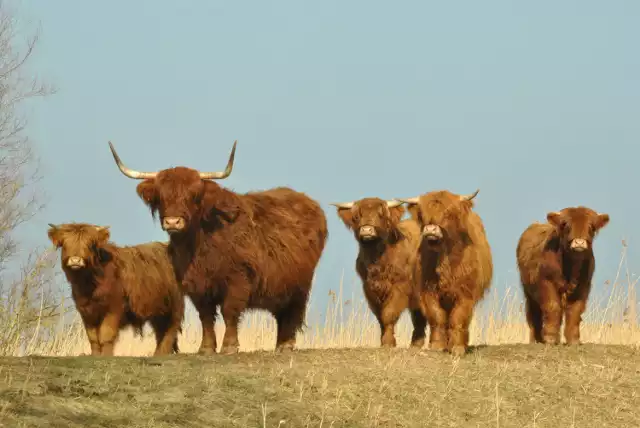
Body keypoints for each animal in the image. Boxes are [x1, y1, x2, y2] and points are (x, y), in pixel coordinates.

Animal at [46, 222, 182, 356]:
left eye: (89, 245)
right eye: (65, 244)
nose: (75, 260)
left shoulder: (114, 309)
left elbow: (106, 335)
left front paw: (106, 355)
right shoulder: (87, 312)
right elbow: (93, 338)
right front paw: (95, 355)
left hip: (175, 305)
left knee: (171, 329)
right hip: (158, 309)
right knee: (160, 331)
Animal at [107, 140, 328, 354]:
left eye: (194, 195)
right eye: (161, 196)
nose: (173, 222)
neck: (197, 247)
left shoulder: (238, 279)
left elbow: (229, 311)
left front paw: (229, 346)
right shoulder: (195, 285)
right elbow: (205, 316)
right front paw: (206, 348)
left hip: (300, 284)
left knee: (293, 312)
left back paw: (286, 344)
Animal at [332, 197, 428, 348]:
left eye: (380, 215)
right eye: (357, 216)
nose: (366, 229)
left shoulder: (400, 287)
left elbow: (389, 313)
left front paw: (388, 342)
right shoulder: (369, 289)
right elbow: (380, 317)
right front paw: (383, 341)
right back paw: (416, 344)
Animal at [400, 190, 496, 354]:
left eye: (448, 213)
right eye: (422, 214)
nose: (430, 229)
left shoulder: (466, 292)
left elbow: (458, 317)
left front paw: (457, 347)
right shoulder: (428, 291)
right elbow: (437, 316)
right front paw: (437, 345)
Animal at [516, 206, 608, 346]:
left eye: (591, 226)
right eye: (566, 225)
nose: (579, 242)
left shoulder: (583, 286)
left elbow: (575, 310)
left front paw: (573, 340)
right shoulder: (545, 283)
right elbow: (552, 306)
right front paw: (550, 338)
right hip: (528, 292)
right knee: (534, 315)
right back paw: (536, 340)